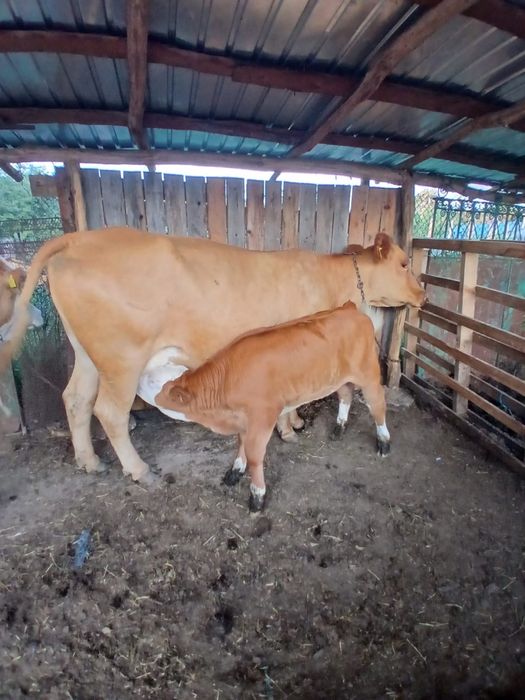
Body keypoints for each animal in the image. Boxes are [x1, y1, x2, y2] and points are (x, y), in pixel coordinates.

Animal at [0, 227, 425, 486]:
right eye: (404, 263)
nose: (423, 294)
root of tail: (79, 239)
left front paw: (294, 425)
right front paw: (289, 429)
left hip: (88, 355)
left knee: (76, 399)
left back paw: (88, 461)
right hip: (122, 359)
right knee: (109, 411)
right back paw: (139, 470)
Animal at [155, 300, 389, 511]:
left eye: (166, 394)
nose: (155, 399)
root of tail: (349, 308)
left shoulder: (262, 418)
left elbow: (254, 456)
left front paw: (257, 496)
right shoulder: (243, 420)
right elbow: (240, 443)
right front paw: (235, 471)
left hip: (368, 373)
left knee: (377, 403)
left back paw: (383, 442)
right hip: (336, 378)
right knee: (346, 395)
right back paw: (339, 427)